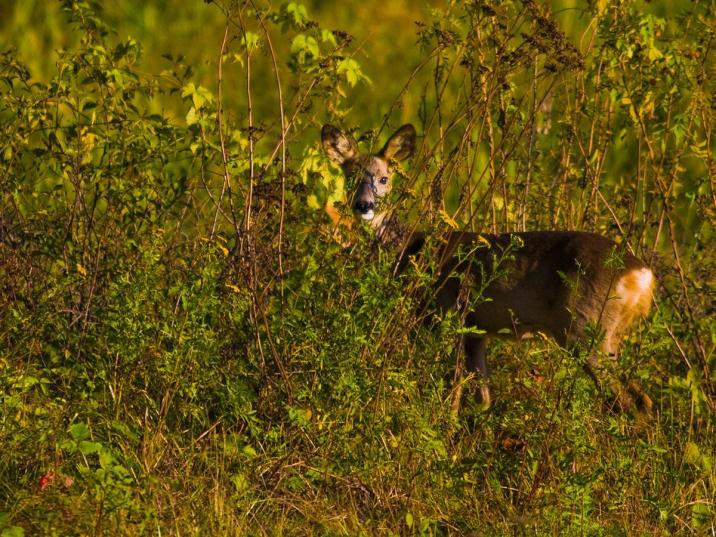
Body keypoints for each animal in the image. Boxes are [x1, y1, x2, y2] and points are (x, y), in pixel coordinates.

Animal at [322, 123, 656, 412]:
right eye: (350, 177)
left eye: (383, 179)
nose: (364, 206)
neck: (411, 249)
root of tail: (641, 275)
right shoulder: (476, 332)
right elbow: (482, 399)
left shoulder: (449, 315)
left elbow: (454, 392)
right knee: (642, 399)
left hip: (586, 327)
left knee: (630, 400)